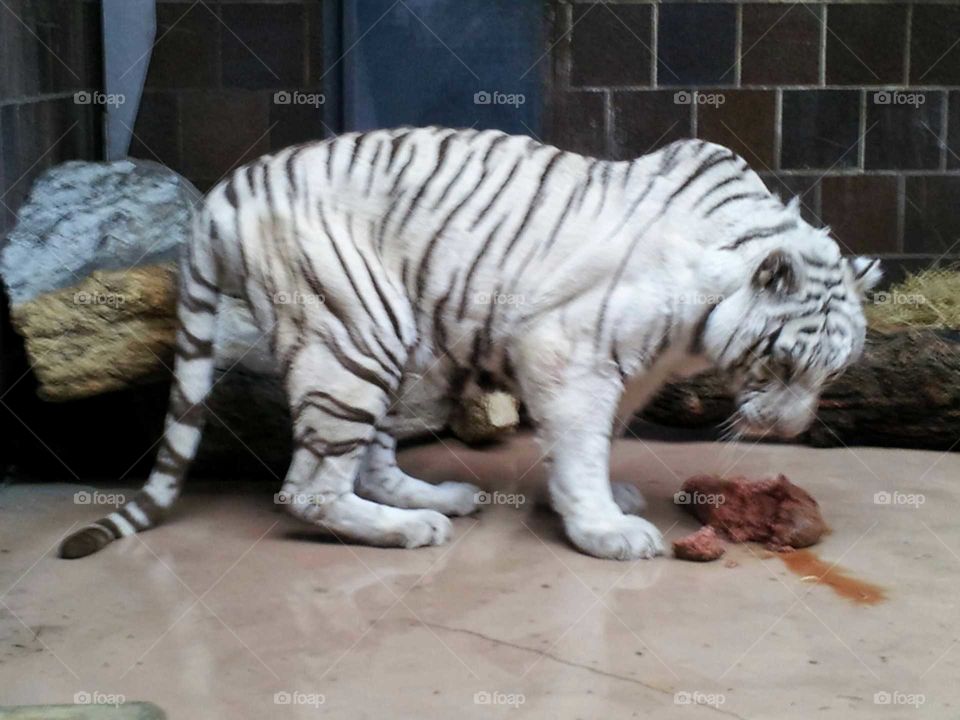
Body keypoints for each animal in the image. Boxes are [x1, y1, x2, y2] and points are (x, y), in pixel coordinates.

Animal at [59, 127, 881, 561]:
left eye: (831, 375)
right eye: (784, 364)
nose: (789, 430)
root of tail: (228, 190)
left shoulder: (634, 370)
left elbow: (598, 437)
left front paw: (595, 497)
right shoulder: (567, 348)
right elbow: (581, 440)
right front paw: (605, 530)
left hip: (386, 339)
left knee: (370, 456)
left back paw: (437, 498)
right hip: (353, 332)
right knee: (308, 487)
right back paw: (408, 528)